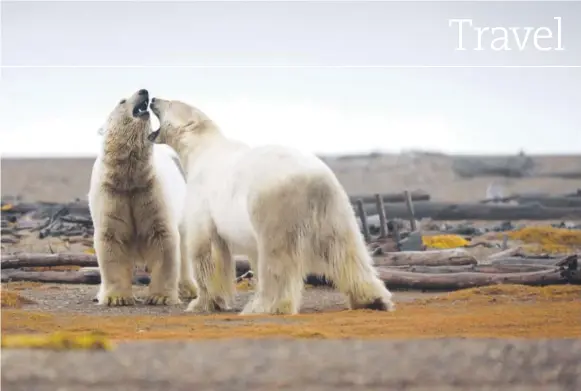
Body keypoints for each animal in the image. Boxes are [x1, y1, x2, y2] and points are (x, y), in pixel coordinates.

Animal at [86, 90, 195, 308]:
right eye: (122, 101)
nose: (144, 91)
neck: (129, 179)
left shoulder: (150, 191)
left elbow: (163, 237)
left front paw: (161, 297)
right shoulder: (111, 194)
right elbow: (111, 238)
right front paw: (116, 298)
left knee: (184, 248)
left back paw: (189, 289)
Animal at [147, 95, 396, 316]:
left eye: (170, 102)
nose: (152, 99)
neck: (203, 149)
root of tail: (314, 181)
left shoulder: (203, 198)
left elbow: (206, 250)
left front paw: (202, 303)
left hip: (274, 205)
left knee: (277, 258)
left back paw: (264, 306)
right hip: (336, 208)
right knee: (347, 251)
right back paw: (372, 299)